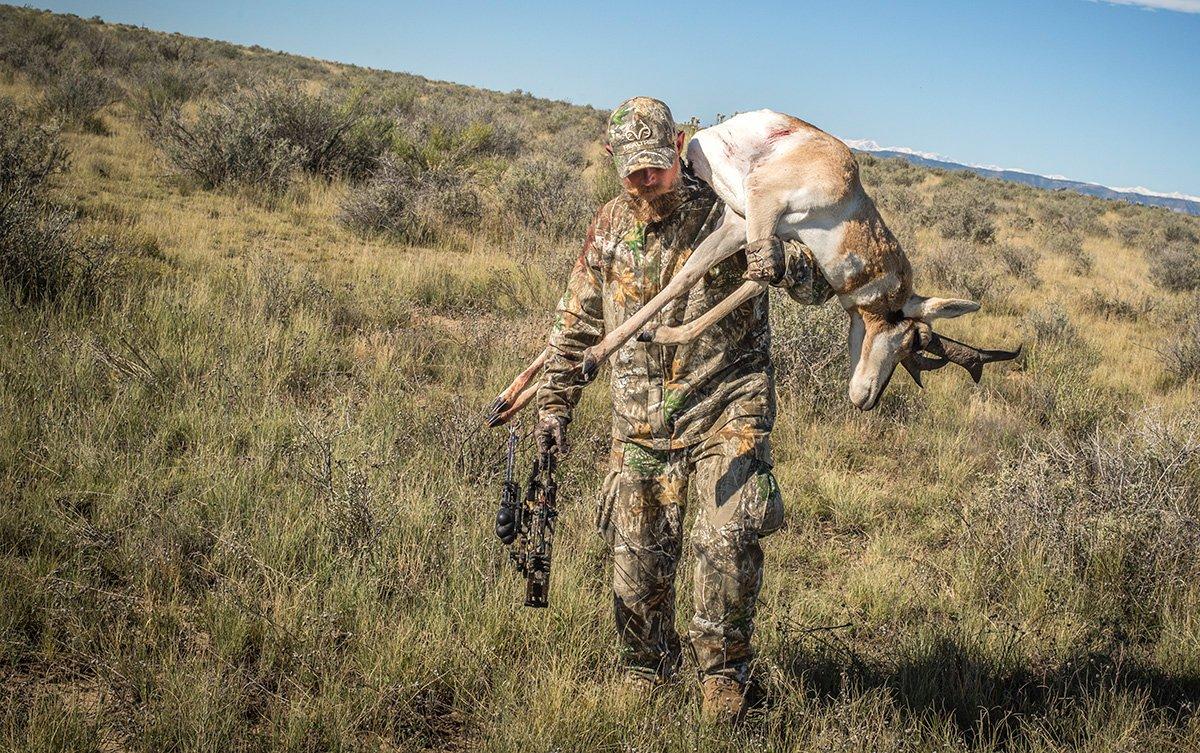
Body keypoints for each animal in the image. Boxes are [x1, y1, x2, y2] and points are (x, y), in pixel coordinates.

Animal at [487, 109, 1022, 426]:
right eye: (907, 335)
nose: (867, 399)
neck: (847, 197)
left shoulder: (743, 224)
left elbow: (696, 278)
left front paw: (622, 346)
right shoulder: (763, 207)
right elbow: (754, 282)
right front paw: (643, 340)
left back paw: (512, 399)